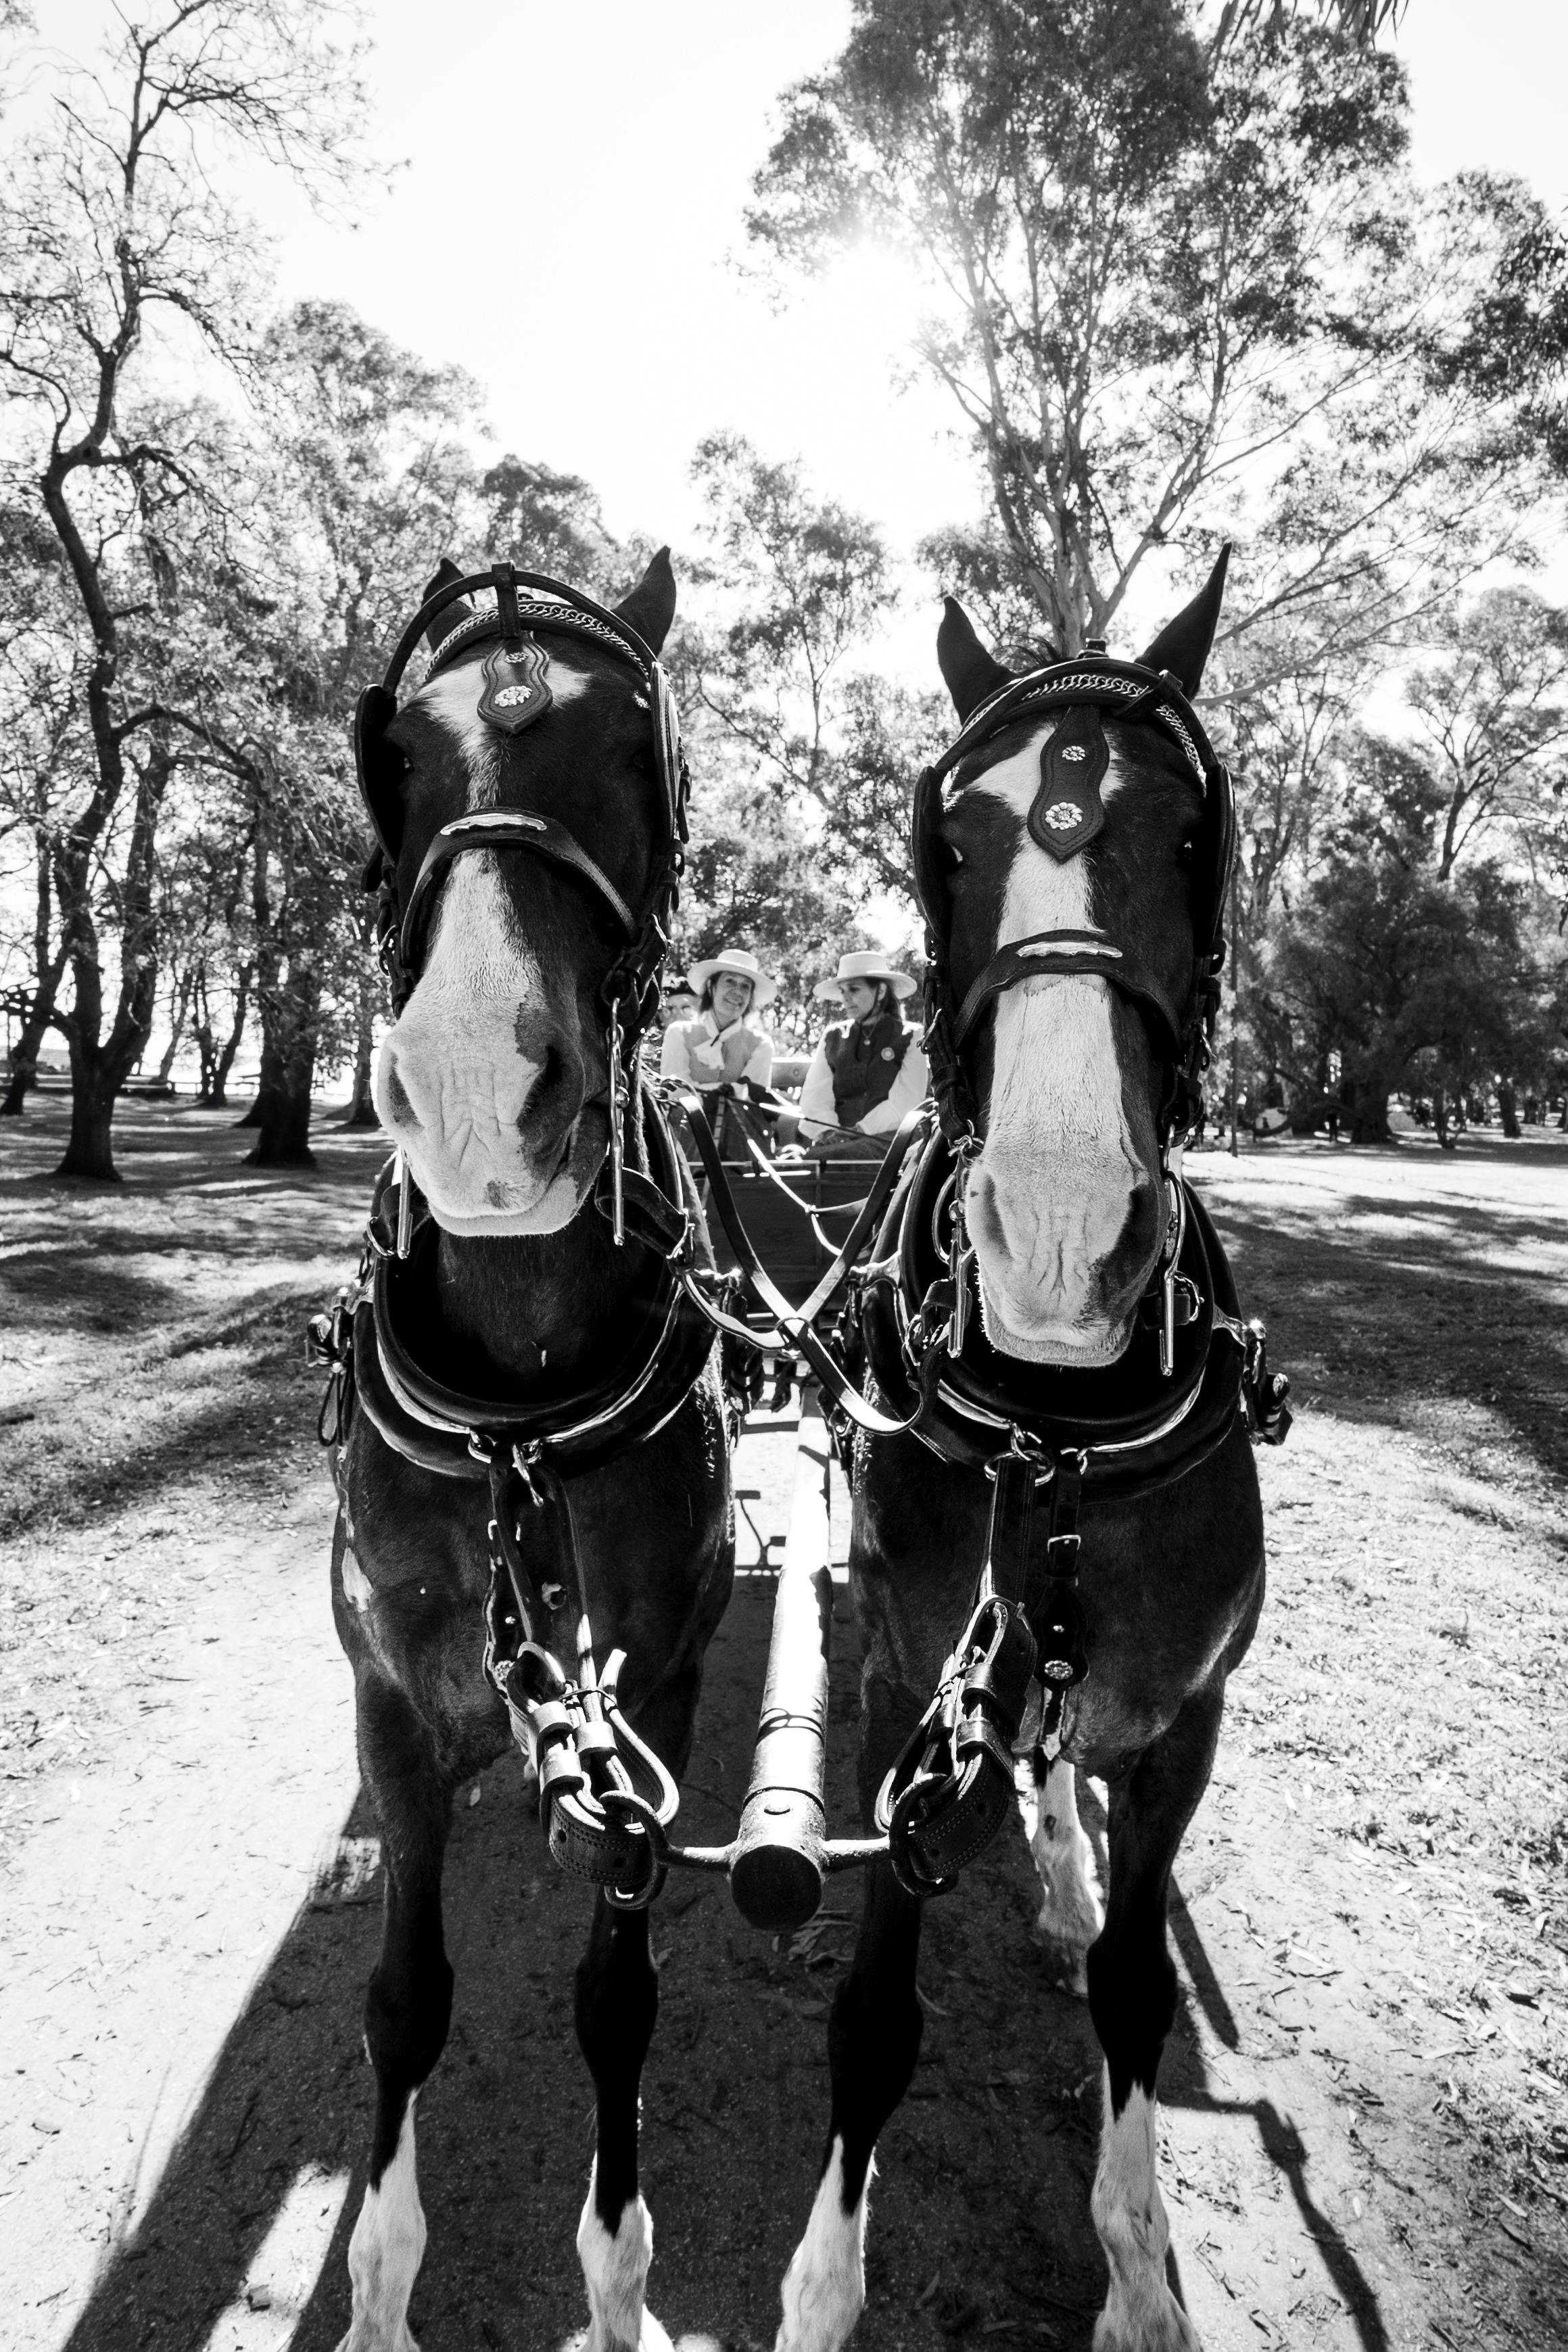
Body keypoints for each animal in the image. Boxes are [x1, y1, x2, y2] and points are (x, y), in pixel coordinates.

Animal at [771, 551, 1289, 2352]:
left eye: (1195, 832)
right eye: (949, 836)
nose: (1060, 1234)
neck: (1055, 1419)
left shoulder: (1185, 1715)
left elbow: (1137, 1979)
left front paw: (1137, 2260)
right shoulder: (895, 1677)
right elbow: (871, 2005)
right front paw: (824, 2278)